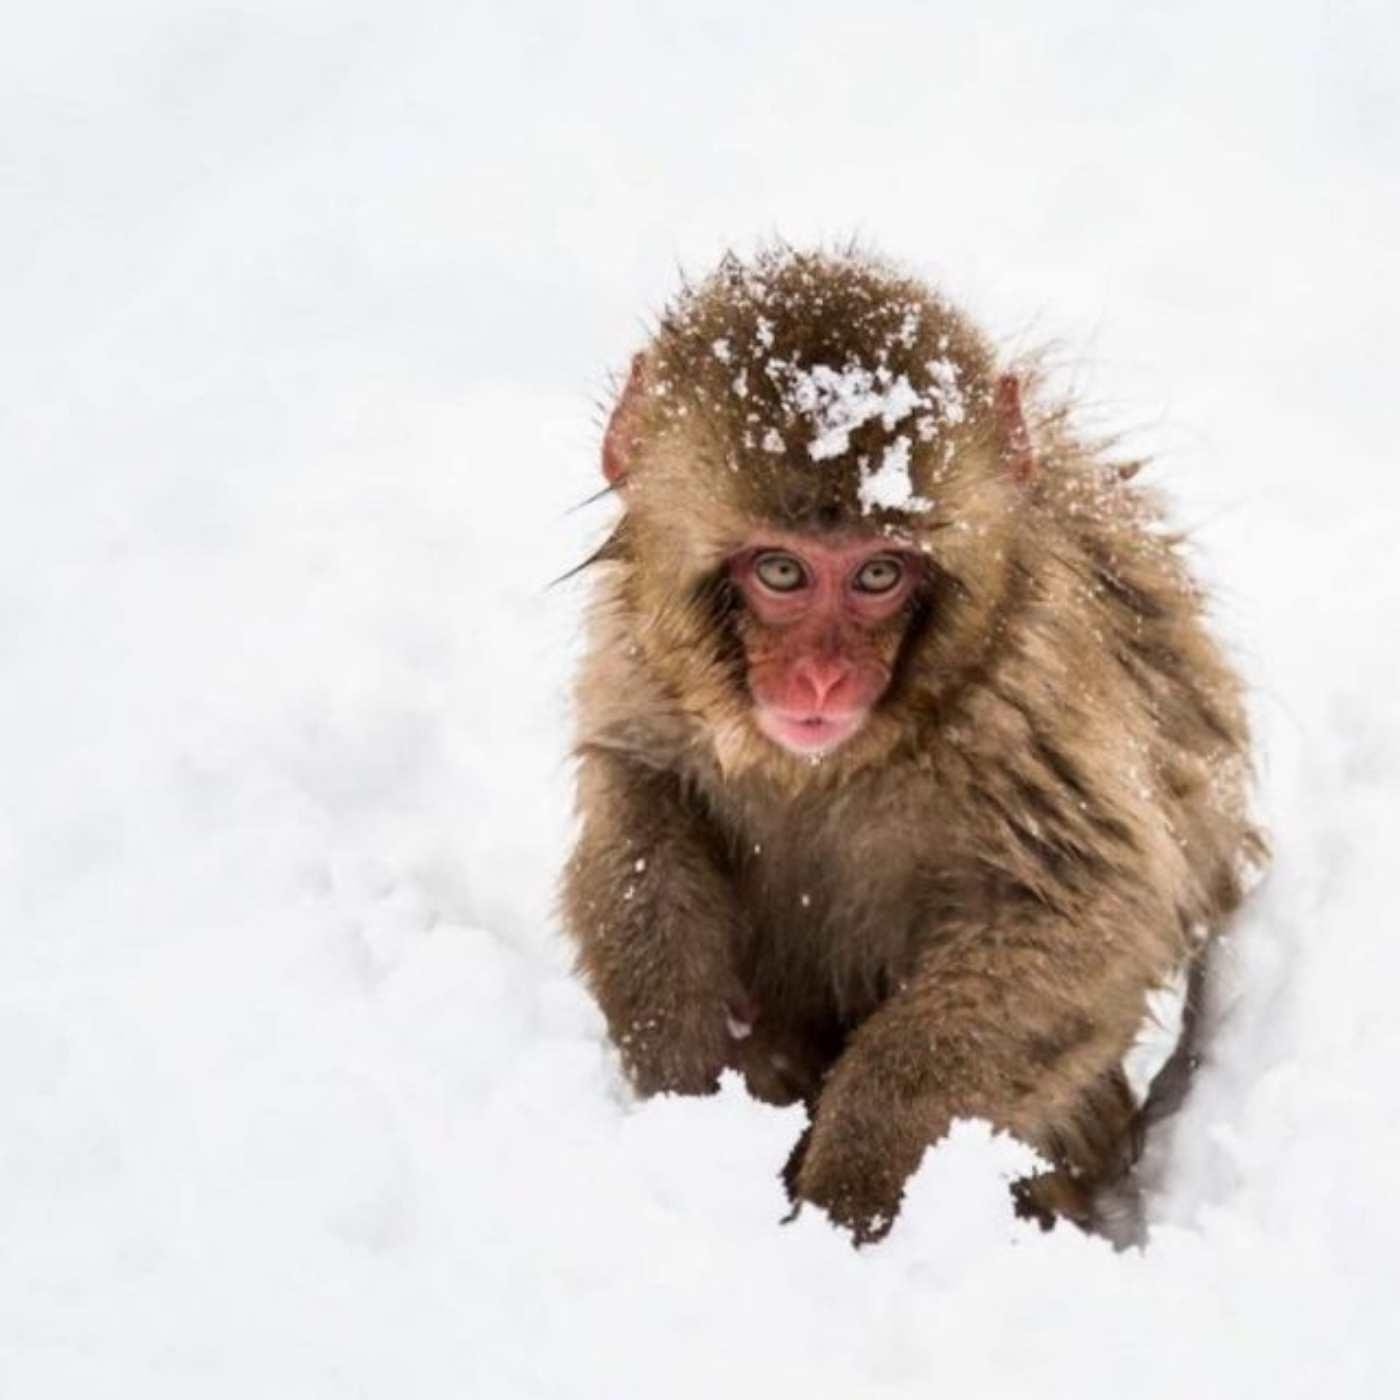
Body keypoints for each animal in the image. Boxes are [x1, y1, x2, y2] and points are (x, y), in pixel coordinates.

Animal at [561, 247, 1264, 1244]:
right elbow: (640, 808)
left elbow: (1090, 913)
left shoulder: (1031, 703)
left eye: (878, 574)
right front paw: (684, 1088)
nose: (821, 680)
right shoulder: (644, 670)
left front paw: (849, 1184)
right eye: (782, 570)